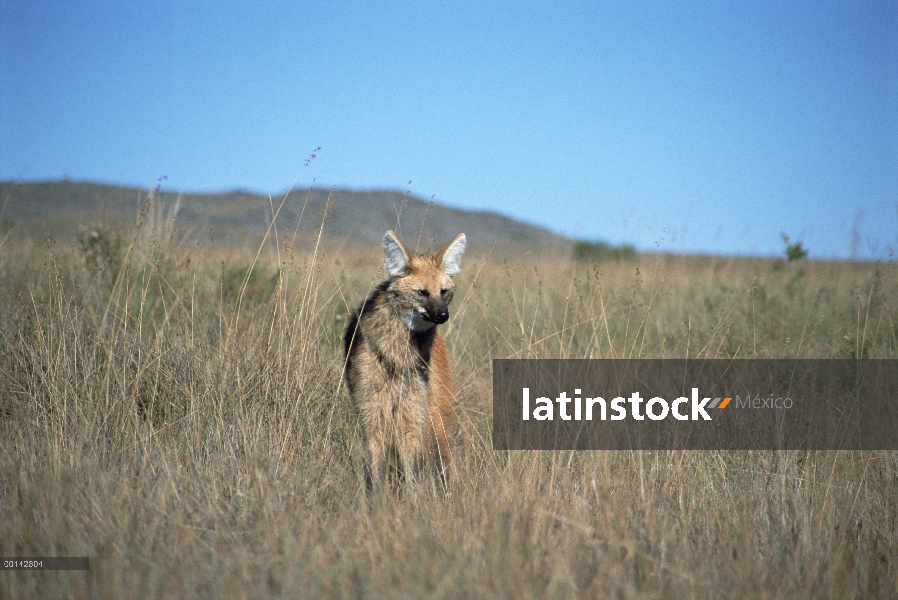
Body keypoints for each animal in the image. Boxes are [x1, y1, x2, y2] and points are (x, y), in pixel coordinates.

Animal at [344, 230, 468, 488]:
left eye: (444, 291)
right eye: (422, 292)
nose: (443, 315)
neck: (398, 353)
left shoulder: (410, 411)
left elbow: (410, 459)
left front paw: (412, 496)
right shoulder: (372, 409)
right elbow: (376, 458)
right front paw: (378, 495)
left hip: (431, 410)